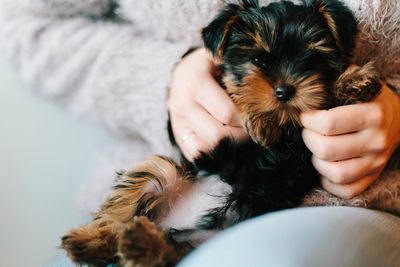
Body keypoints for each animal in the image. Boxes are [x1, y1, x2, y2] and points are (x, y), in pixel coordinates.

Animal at [63, 0, 390, 266]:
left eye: (311, 60)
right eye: (258, 61)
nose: (284, 91)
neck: (287, 130)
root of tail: (174, 222)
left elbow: (324, 99)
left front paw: (354, 81)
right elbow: (239, 92)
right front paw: (260, 119)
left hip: (197, 244)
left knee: (169, 253)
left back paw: (138, 243)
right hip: (162, 173)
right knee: (124, 208)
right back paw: (90, 241)